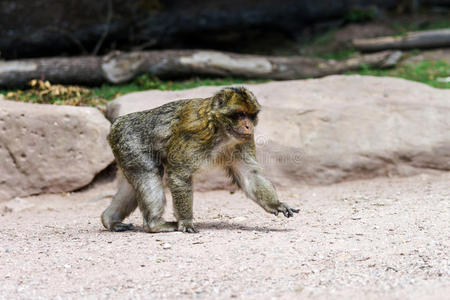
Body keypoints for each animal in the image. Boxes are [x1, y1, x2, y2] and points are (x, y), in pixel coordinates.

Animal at [101, 85, 298, 233]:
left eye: (251, 115)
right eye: (240, 114)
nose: (249, 126)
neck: (221, 130)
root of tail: (117, 122)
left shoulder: (244, 140)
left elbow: (250, 175)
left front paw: (276, 204)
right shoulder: (195, 133)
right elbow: (180, 174)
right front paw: (186, 221)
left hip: (125, 151)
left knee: (132, 184)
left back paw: (110, 221)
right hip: (130, 142)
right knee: (150, 173)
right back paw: (154, 224)